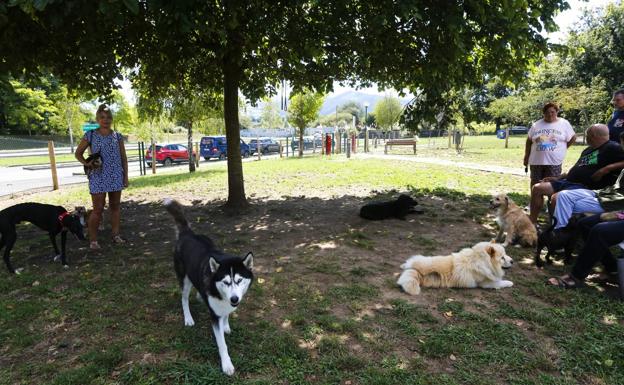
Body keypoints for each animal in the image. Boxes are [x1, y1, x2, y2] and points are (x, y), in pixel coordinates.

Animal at [166, 198, 256, 376]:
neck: (220, 294)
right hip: (184, 279)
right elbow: (222, 344)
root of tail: (188, 233)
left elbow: (226, 315)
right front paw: (226, 364)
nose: (234, 298)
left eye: (239, 280)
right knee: (184, 299)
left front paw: (226, 326)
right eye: (226, 282)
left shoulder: (226, 305)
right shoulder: (214, 316)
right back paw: (188, 318)